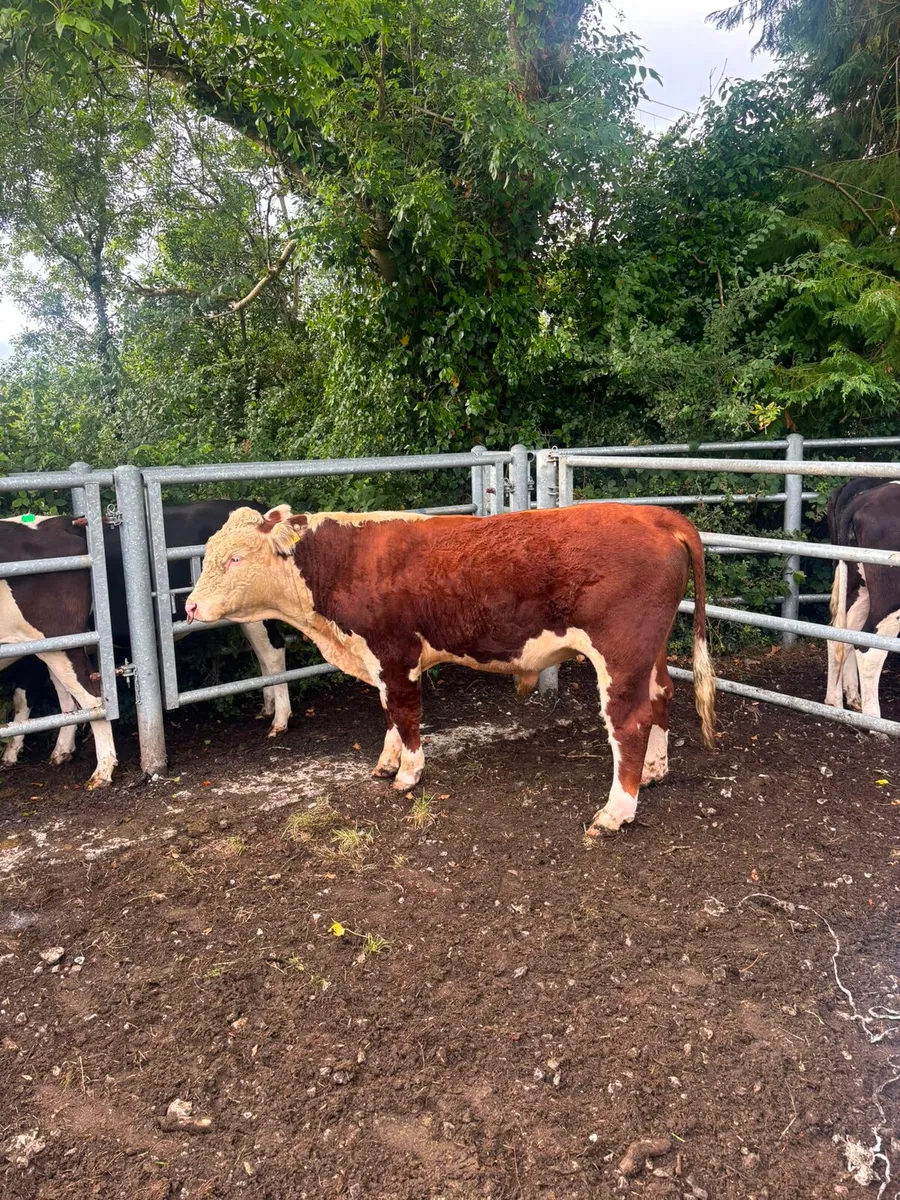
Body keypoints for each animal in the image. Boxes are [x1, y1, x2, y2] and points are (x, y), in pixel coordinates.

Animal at [0, 517, 117, 788]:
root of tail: (60, 522)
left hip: (61, 640)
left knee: (92, 697)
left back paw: (103, 770)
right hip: (48, 648)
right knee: (68, 698)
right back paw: (62, 751)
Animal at [185, 504, 716, 836]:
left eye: (235, 558)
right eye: (207, 555)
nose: (189, 606)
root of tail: (652, 514)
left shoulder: (396, 653)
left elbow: (405, 714)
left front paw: (408, 775)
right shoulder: (378, 659)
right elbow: (389, 714)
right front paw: (386, 763)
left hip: (621, 653)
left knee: (629, 722)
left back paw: (615, 812)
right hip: (650, 651)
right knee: (662, 697)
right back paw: (654, 771)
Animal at [826, 480, 900, 718]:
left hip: (859, 587)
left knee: (841, 635)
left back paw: (836, 702)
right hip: (890, 596)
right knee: (870, 649)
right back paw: (875, 720)